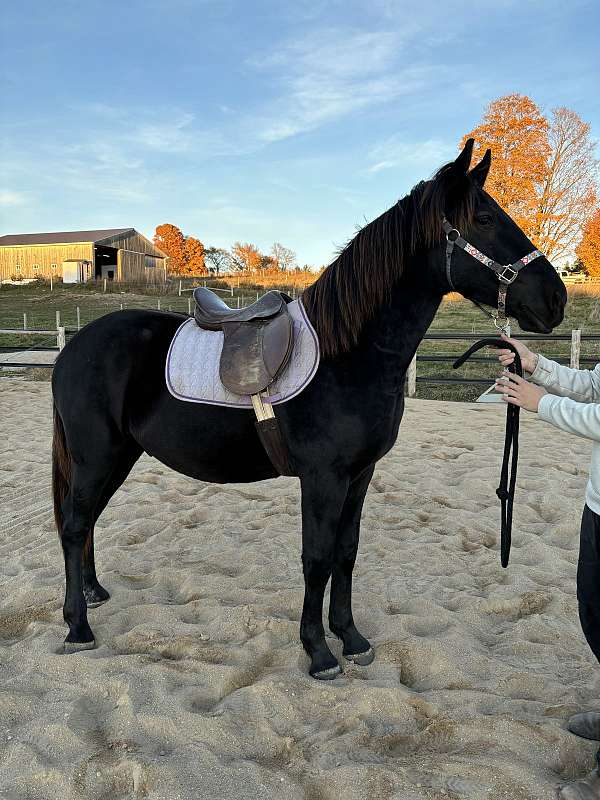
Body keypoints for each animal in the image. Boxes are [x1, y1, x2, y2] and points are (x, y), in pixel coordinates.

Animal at [52, 141, 568, 680]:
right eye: (484, 218)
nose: (555, 299)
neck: (350, 354)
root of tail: (73, 349)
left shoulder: (359, 475)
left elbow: (346, 553)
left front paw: (351, 637)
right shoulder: (323, 477)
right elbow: (316, 558)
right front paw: (318, 651)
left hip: (117, 457)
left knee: (86, 522)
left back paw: (94, 593)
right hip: (97, 457)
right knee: (74, 525)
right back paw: (77, 627)